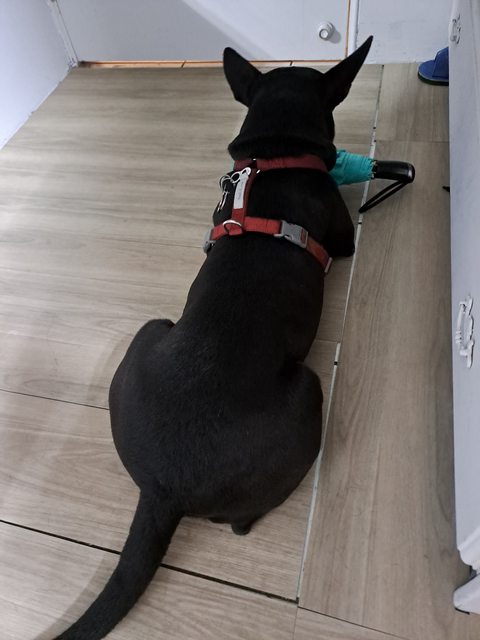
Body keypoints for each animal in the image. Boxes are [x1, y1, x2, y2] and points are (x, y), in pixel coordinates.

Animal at [55, 36, 372, 640]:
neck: (277, 152)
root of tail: (162, 490)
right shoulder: (343, 237)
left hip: (150, 331)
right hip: (307, 391)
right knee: (245, 520)